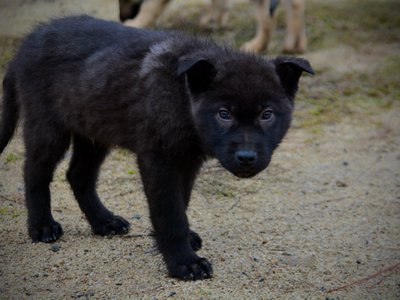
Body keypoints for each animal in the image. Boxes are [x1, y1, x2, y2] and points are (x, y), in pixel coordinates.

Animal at [0, 15, 312, 278]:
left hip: (93, 130)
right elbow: (169, 212)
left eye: (266, 114)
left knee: (78, 175)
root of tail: (26, 44)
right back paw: (42, 227)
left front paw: (180, 243)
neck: (182, 97)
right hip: (48, 126)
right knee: (34, 172)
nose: (246, 157)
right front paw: (184, 262)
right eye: (224, 113)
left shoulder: (187, 161)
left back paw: (104, 222)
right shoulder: (158, 159)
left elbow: (181, 202)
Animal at [119, 0, 306, 52]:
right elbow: (218, 4)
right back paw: (294, 45)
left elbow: (150, 6)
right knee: (295, 5)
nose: (121, 17)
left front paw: (138, 23)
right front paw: (213, 20)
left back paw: (257, 45)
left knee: (267, 17)